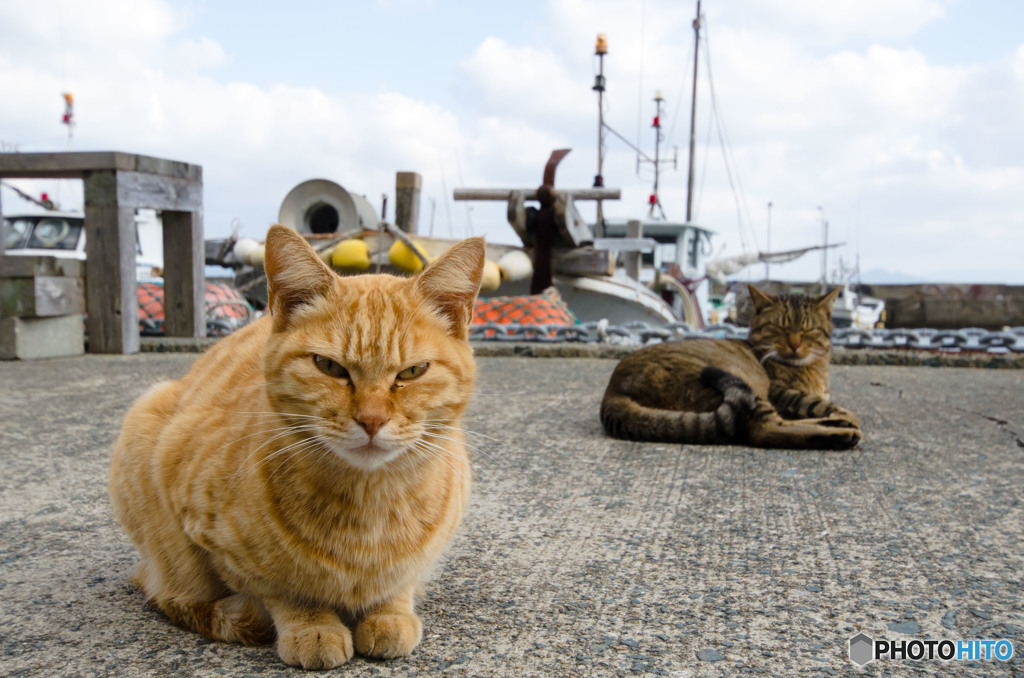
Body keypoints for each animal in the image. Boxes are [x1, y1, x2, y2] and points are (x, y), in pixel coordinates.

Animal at [110, 227, 485, 667]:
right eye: (330, 367)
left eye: (412, 372)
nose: (372, 421)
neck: (369, 509)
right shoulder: (213, 538)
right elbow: (282, 590)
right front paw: (312, 625)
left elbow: (398, 583)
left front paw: (389, 613)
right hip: (145, 429)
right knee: (169, 591)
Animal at [598, 286, 864, 450]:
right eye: (779, 328)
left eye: (808, 330)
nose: (794, 345)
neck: (813, 368)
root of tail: (611, 392)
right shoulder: (780, 392)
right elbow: (827, 405)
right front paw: (845, 416)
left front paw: (839, 416)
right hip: (745, 384)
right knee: (764, 429)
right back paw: (840, 433)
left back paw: (836, 426)